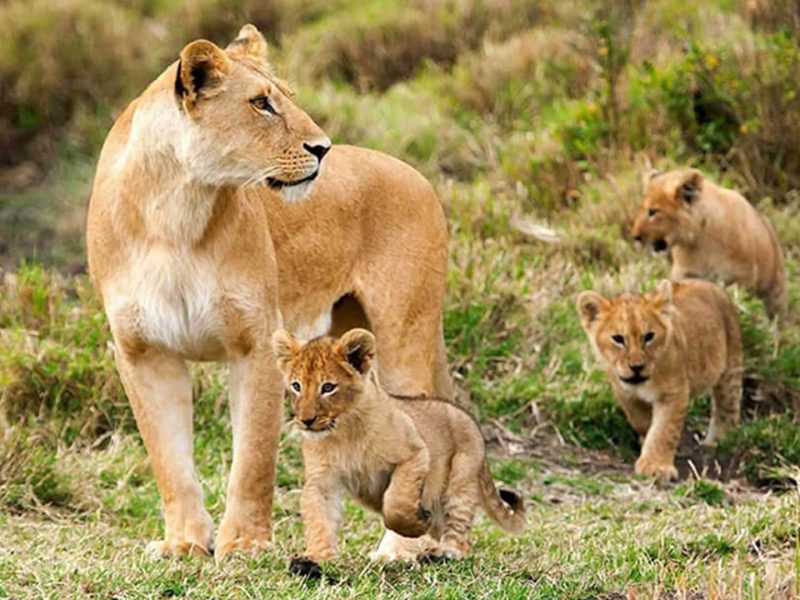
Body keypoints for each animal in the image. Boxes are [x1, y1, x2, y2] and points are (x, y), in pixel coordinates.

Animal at [85, 25, 451, 560]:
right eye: (261, 104)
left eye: (287, 98)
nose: (323, 148)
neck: (175, 209)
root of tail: (417, 174)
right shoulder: (143, 351)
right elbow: (169, 459)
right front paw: (184, 543)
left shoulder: (256, 341)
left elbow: (254, 457)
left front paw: (245, 543)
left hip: (405, 334)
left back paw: (398, 550)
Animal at [271, 328, 525, 575]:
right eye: (296, 386)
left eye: (328, 388)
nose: (306, 420)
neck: (344, 432)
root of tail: (468, 417)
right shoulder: (322, 479)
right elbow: (319, 519)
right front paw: (317, 559)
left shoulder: (414, 454)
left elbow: (396, 504)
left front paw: (417, 523)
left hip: (460, 481)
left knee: (460, 536)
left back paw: (442, 553)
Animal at [576, 279, 743, 482]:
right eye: (618, 339)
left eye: (649, 336)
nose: (637, 367)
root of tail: (707, 283)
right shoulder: (625, 393)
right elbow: (641, 421)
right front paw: (646, 442)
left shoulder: (674, 392)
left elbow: (664, 430)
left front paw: (655, 466)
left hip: (730, 370)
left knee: (728, 409)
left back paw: (718, 443)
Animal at [631, 168, 787, 318]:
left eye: (653, 211)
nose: (635, 236)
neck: (700, 241)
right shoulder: (685, 273)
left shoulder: (741, 276)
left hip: (775, 293)